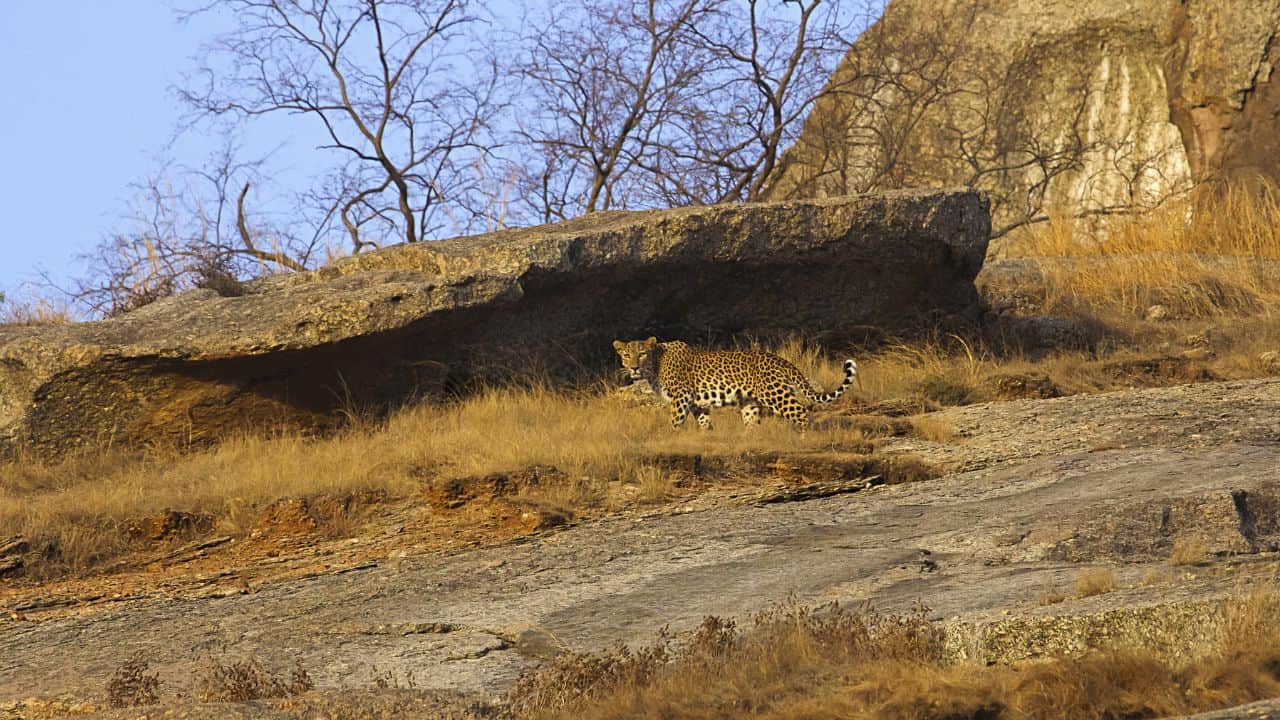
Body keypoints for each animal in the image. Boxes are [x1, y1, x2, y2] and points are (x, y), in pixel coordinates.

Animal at [613, 337, 857, 431]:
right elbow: (704, 423)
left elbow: (674, 422)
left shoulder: (681, 397)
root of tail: (779, 359)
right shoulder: (697, 403)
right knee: (753, 424)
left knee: (801, 412)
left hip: (775, 394)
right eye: (626, 355)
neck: (655, 365)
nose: (633, 368)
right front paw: (707, 437)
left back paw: (803, 438)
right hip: (750, 402)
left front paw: (671, 438)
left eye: (642, 354)